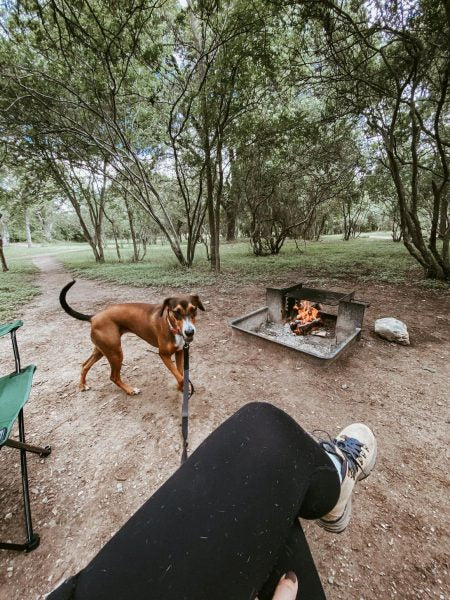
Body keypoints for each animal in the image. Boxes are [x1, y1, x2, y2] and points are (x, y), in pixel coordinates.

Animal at [60, 280, 205, 394]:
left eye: (194, 309)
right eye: (176, 312)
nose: (189, 332)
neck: (171, 325)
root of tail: (94, 317)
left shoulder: (179, 352)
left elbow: (180, 373)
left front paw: (182, 388)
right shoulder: (163, 355)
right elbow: (180, 376)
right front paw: (184, 387)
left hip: (102, 350)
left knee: (84, 365)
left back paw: (82, 385)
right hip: (116, 353)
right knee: (113, 377)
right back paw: (130, 390)